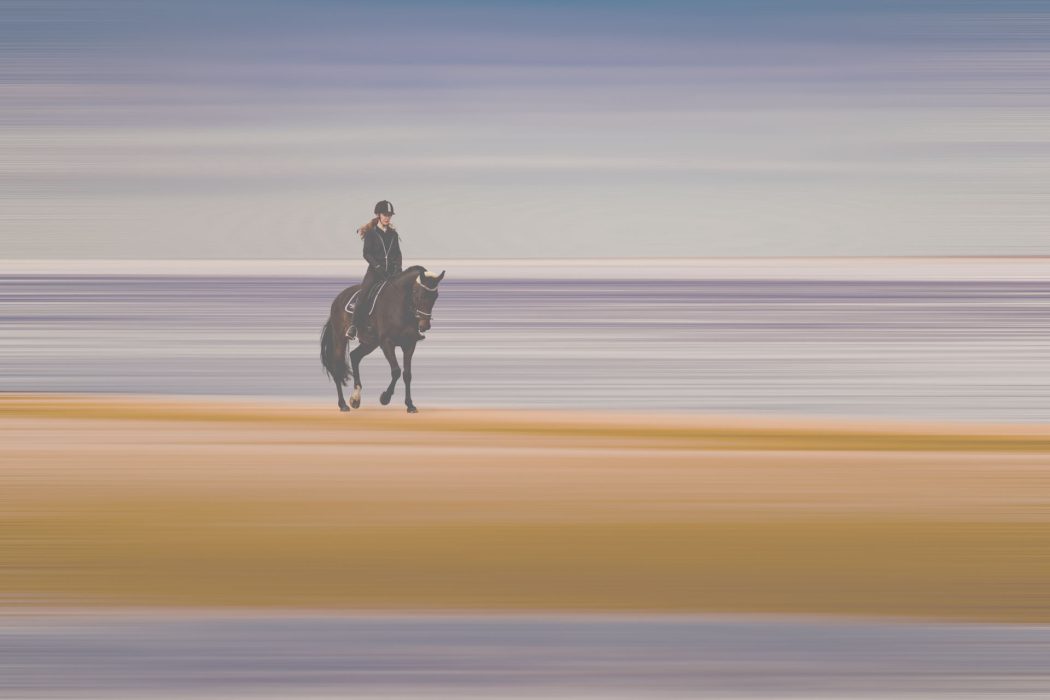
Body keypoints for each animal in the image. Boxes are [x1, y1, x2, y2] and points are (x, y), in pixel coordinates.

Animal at [319, 265, 445, 413]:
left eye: (435, 296)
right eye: (419, 295)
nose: (425, 326)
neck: (401, 305)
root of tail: (338, 298)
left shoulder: (409, 344)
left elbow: (407, 375)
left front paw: (410, 405)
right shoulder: (387, 343)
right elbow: (396, 371)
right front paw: (385, 398)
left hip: (370, 343)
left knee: (355, 356)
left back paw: (355, 398)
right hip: (340, 338)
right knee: (338, 366)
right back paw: (343, 404)